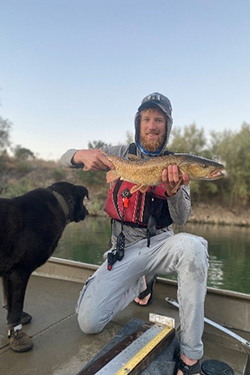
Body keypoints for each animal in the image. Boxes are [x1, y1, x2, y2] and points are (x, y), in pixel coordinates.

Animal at [0, 182, 89, 352]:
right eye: (83, 201)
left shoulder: (7, 273)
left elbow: (9, 301)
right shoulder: (19, 272)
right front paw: (18, 336)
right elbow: (16, 305)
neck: (60, 202)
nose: (87, 212)